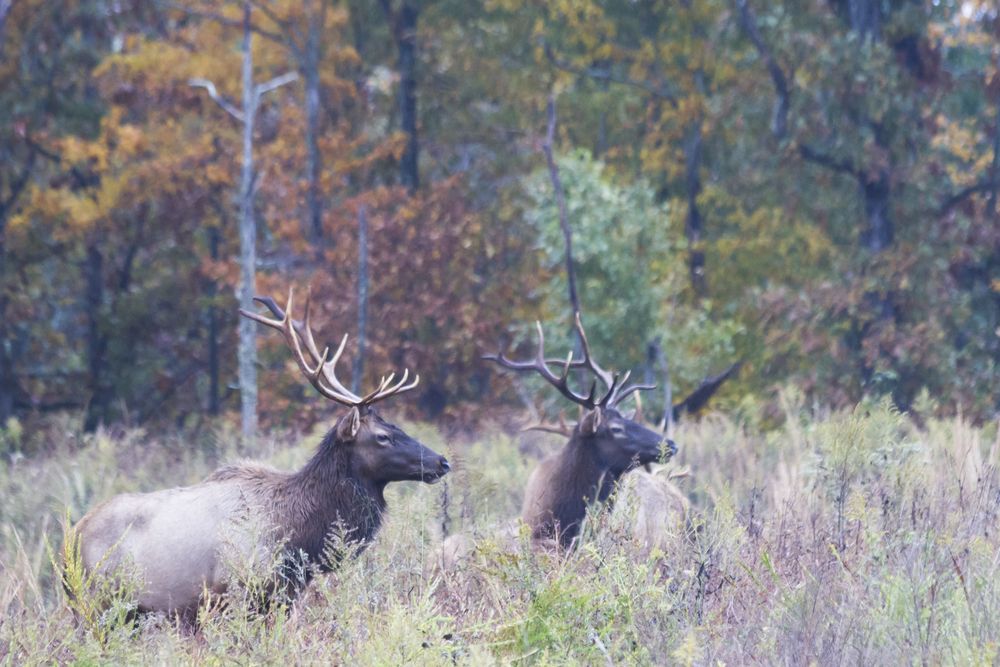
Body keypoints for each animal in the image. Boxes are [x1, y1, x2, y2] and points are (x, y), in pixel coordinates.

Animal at [71, 288, 451, 619]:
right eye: (384, 437)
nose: (441, 461)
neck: (299, 535)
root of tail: (73, 535)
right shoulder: (237, 591)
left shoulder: (285, 596)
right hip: (96, 604)